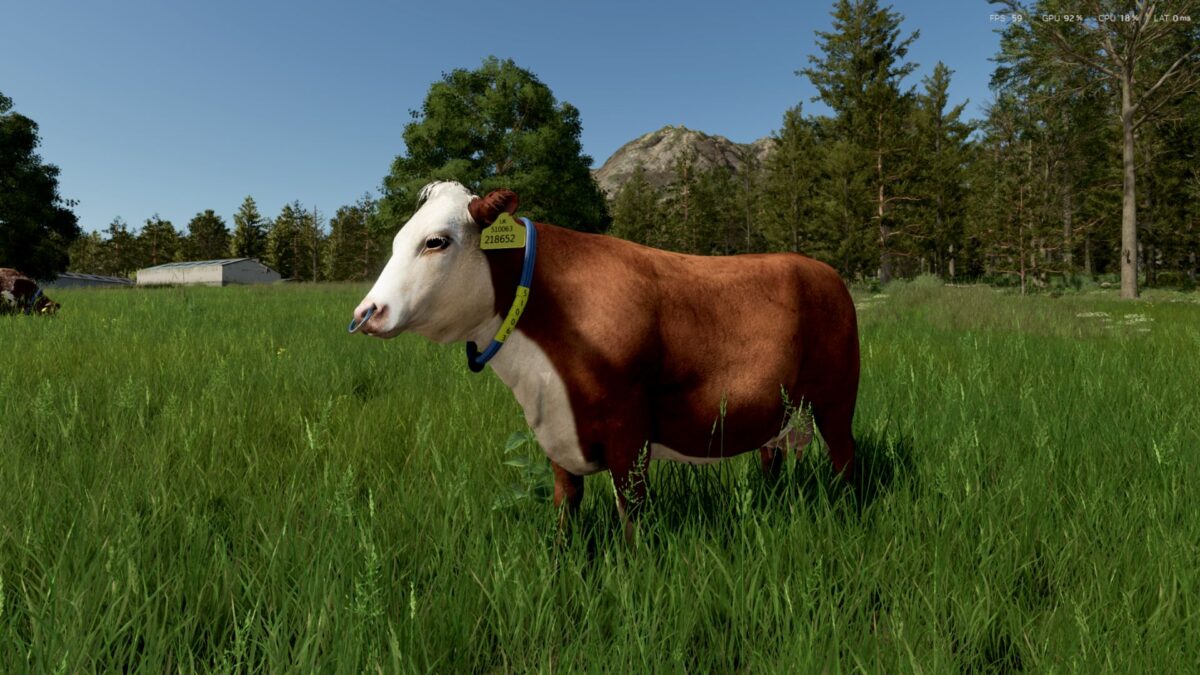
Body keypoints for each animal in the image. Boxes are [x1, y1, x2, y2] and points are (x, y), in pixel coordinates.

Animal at [350, 182, 859, 539]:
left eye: (436, 241)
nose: (365, 314)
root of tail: (822, 269)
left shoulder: (628, 429)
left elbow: (630, 516)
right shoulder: (558, 428)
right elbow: (565, 506)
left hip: (837, 399)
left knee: (844, 458)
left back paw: (848, 511)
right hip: (778, 407)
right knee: (772, 455)